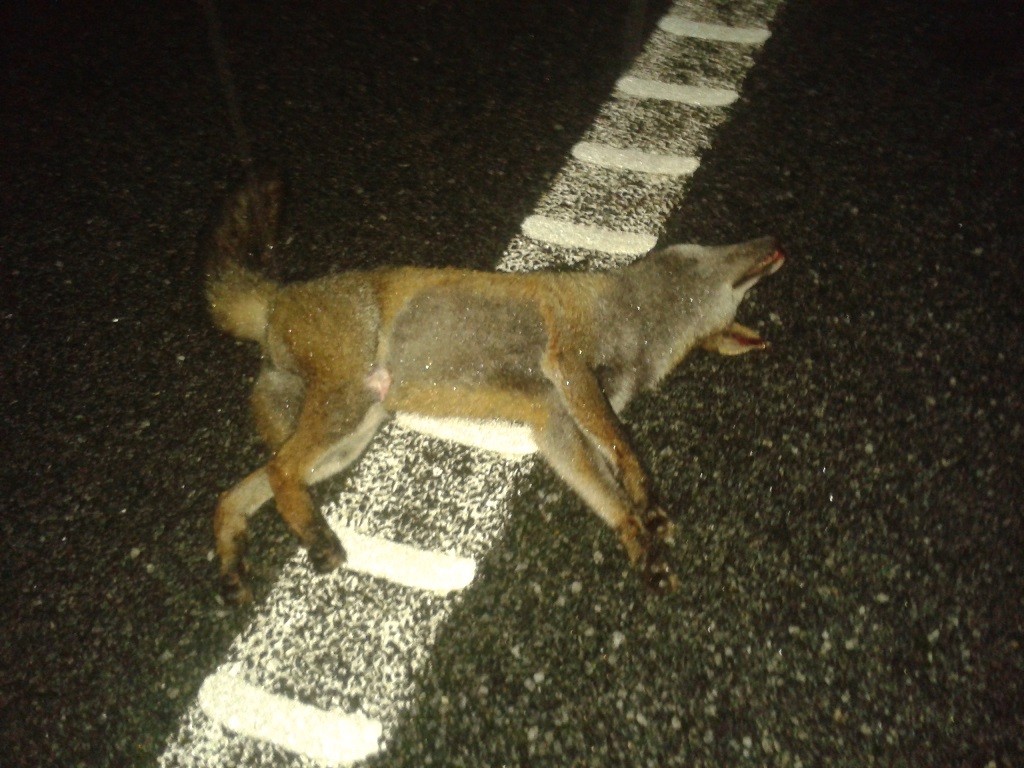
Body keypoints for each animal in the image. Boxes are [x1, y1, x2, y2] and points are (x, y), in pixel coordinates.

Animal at [205, 171, 784, 605]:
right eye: (700, 251)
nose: (774, 241)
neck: (632, 327)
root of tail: (278, 296)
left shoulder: (556, 423)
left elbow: (606, 496)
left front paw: (639, 542)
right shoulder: (569, 366)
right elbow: (624, 448)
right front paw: (647, 501)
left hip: (344, 443)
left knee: (239, 491)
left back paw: (232, 561)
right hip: (345, 409)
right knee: (278, 473)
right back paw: (316, 539)